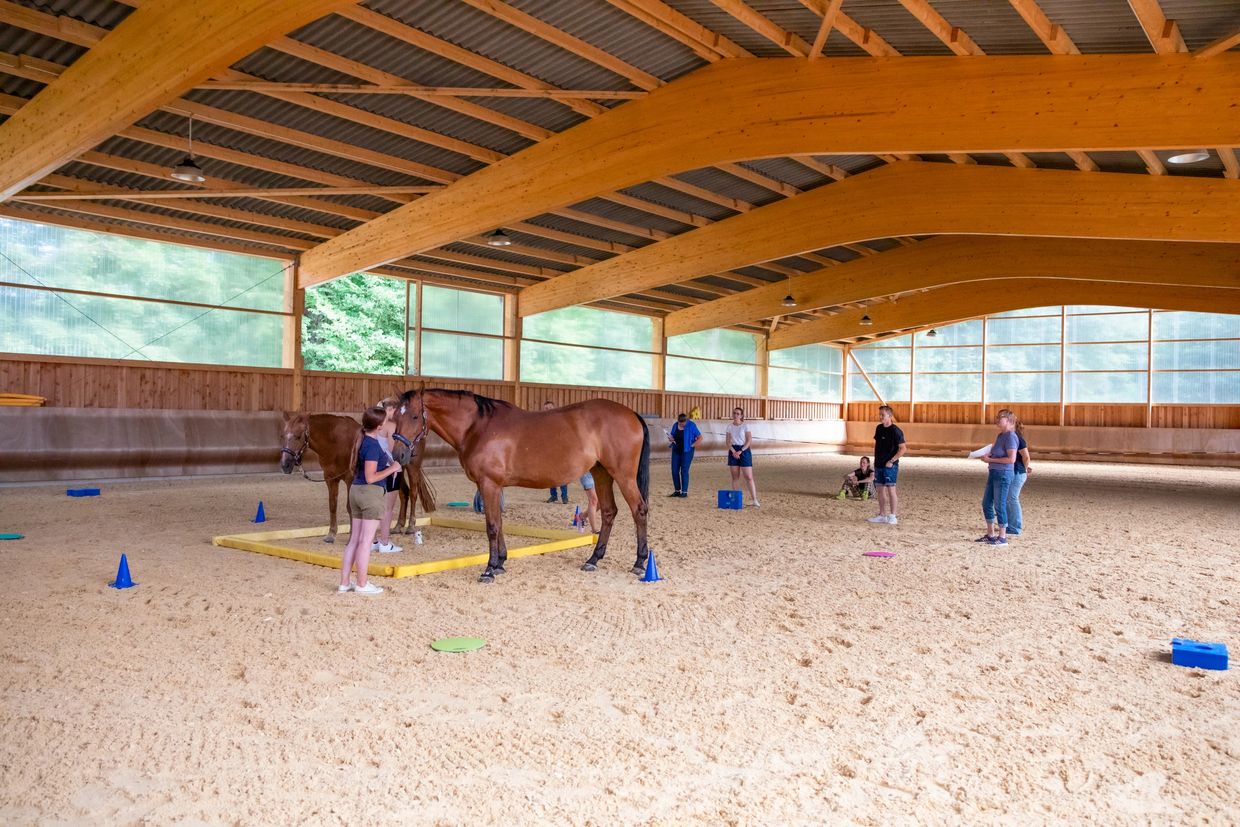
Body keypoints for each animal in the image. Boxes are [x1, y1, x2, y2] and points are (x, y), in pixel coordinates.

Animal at [279, 411, 438, 543]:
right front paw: (331, 534)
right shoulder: (331, 479)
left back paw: (410, 526)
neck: (336, 442)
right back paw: (398, 526)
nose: (285, 465)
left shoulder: (350, 479)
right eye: (283, 436)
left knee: (413, 493)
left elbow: (350, 507)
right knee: (404, 493)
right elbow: (332, 505)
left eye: (298, 436)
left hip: (412, 468)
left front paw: (351, 537)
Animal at [396, 389, 654, 582]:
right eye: (396, 417)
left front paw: (489, 569)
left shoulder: (488, 484)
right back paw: (593, 560)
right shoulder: (494, 486)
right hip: (601, 473)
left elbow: (491, 526)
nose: (399, 454)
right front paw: (500, 562)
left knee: (639, 510)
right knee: (609, 512)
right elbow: (499, 523)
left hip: (623, 475)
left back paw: (639, 562)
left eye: (415, 417)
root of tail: (631, 413)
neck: (477, 427)